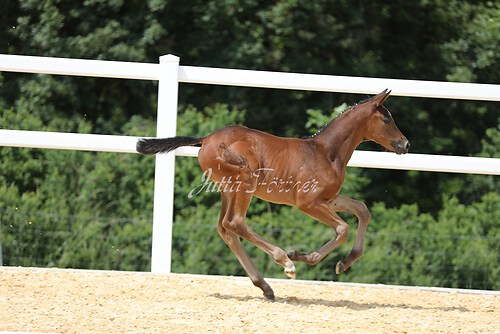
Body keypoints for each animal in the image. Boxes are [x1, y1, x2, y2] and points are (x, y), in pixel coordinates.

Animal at [135, 89, 408, 300]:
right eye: (387, 120)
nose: (405, 144)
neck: (325, 152)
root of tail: (206, 139)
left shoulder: (328, 199)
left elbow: (362, 209)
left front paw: (346, 261)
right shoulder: (307, 202)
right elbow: (342, 229)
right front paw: (301, 257)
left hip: (228, 190)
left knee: (225, 228)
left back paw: (265, 286)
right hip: (244, 183)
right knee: (235, 223)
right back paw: (285, 262)